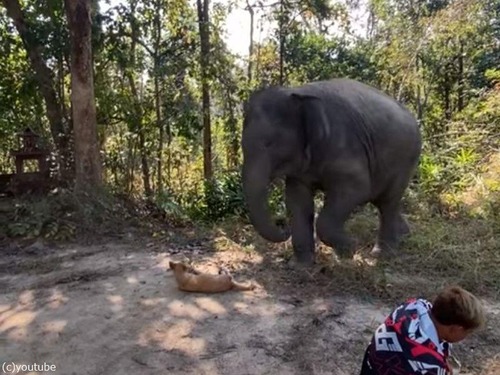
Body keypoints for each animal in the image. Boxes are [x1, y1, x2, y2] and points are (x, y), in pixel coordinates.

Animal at [242, 78, 422, 266]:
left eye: (269, 143)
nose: (283, 227)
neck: (297, 94)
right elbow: (297, 199)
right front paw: (302, 266)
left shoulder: (344, 146)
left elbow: (357, 190)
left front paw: (350, 249)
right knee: (382, 201)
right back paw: (405, 235)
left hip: (405, 158)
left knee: (388, 201)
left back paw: (381, 255)